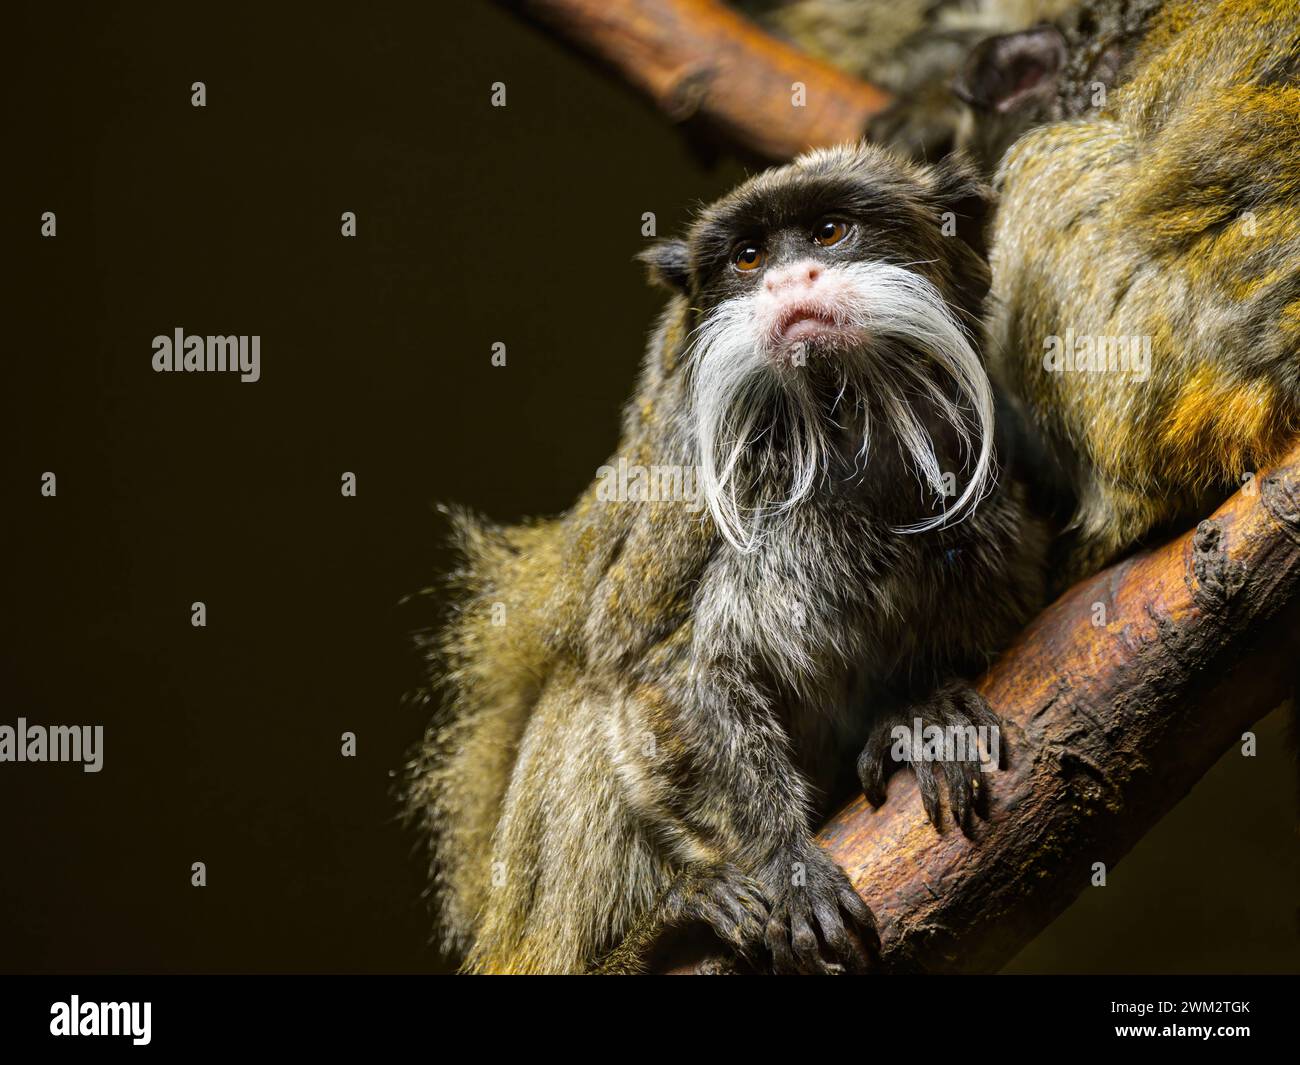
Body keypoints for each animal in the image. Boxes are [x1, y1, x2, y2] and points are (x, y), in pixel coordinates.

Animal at [405, 141, 1045, 972]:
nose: (788, 281)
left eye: (830, 232)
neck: (836, 430)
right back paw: (663, 927)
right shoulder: (688, 504)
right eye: (749, 257)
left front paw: (925, 708)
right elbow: (656, 671)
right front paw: (786, 862)